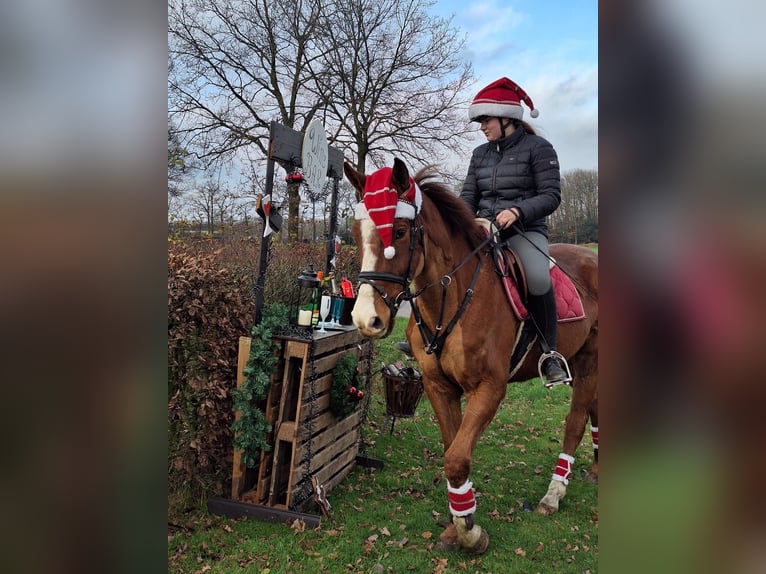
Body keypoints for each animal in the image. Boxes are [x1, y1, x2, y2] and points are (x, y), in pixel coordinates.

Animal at [344, 160, 604, 556]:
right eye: (356, 233)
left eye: (400, 231)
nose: (365, 319)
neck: (453, 298)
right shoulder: (439, 387)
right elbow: (453, 452)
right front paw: (458, 522)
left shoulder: (489, 389)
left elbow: (456, 459)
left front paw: (470, 533)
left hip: (589, 362)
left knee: (575, 422)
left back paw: (554, 493)